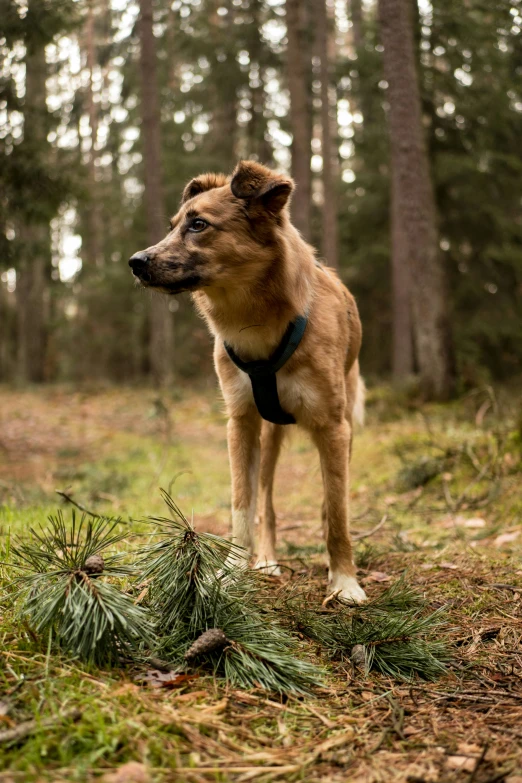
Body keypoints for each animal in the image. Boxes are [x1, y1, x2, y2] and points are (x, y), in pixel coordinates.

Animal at [130, 158, 366, 600]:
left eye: (199, 224)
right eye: (173, 225)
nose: (136, 262)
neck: (258, 320)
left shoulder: (333, 426)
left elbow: (338, 511)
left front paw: (344, 579)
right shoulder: (241, 422)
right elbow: (243, 504)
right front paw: (233, 570)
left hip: (345, 424)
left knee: (328, 501)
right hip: (269, 434)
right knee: (267, 504)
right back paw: (268, 560)